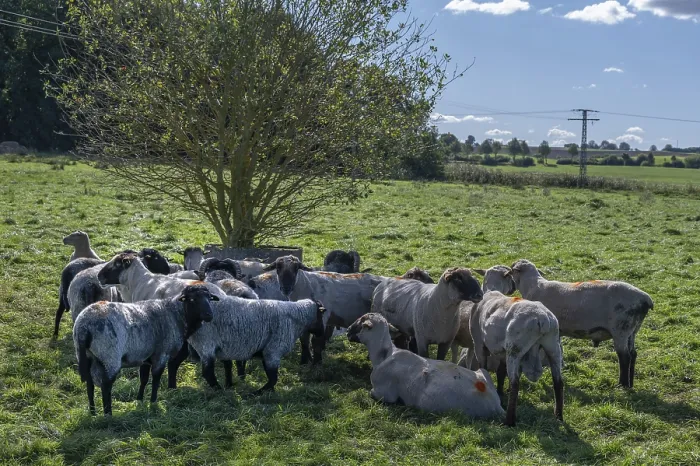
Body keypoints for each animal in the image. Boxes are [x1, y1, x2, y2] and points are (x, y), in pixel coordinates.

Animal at [73, 284, 218, 415]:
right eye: (192, 299)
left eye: (209, 298)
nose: (209, 315)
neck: (176, 314)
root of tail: (83, 327)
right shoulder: (161, 354)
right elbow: (156, 379)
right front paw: (153, 402)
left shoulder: (145, 357)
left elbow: (143, 379)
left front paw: (140, 400)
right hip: (110, 358)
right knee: (106, 386)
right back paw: (108, 414)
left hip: (87, 356)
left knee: (90, 385)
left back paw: (93, 413)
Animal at [187, 296, 329, 393]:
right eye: (321, 315)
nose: (322, 332)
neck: (297, 319)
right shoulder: (273, 350)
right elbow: (273, 378)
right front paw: (258, 393)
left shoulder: (266, 352)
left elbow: (270, 375)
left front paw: (268, 392)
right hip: (206, 343)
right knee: (207, 372)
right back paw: (219, 389)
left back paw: (228, 386)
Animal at [346, 313, 504, 420]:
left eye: (361, 322)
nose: (347, 330)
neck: (384, 354)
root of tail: (496, 405)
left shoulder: (384, 393)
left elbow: (372, 393)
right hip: (483, 371)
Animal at [470, 291, 564, 426]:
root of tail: (542, 319)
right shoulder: (502, 354)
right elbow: (501, 373)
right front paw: (499, 393)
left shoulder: (479, 344)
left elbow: (484, 368)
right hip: (553, 346)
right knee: (558, 382)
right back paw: (559, 416)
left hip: (514, 349)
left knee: (515, 383)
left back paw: (509, 421)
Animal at [507, 259, 653, 388]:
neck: (533, 286)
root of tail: (645, 299)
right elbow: (560, 350)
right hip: (632, 331)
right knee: (633, 354)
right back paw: (630, 383)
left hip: (621, 330)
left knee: (625, 357)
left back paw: (622, 384)